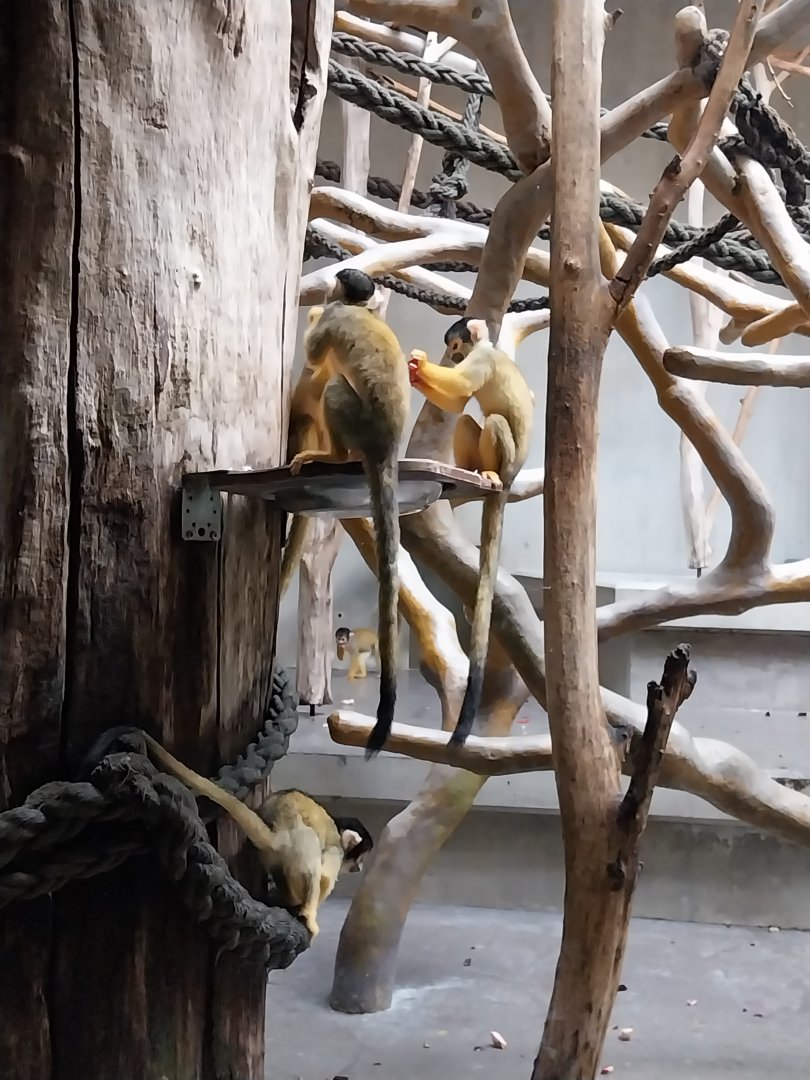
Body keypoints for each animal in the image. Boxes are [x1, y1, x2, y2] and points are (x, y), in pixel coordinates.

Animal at [80, 726, 372, 940]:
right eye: (358, 858)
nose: (358, 868)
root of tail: (278, 836)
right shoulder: (335, 851)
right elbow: (324, 877)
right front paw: (310, 911)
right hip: (299, 847)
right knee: (312, 863)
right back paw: (307, 913)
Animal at [288, 278, 410, 759]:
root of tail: (387, 444)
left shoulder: (336, 318)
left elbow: (314, 352)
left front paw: (312, 315)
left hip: (360, 423)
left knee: (334, 388)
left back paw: (333, 456)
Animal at [408, 317, 534, 748]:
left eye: (457, 345)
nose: (454, 355)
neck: (487, 347)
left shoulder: (483, 360)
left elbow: (463, 386)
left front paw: (420, 364)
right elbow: (455, 405)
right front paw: (415, 373)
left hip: (509, 460)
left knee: (494, 423)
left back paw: (490, 474)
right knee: (466, 421)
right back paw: (468, 472)